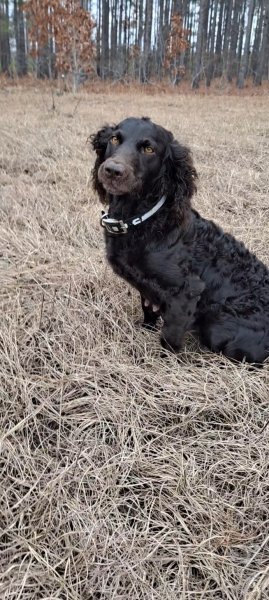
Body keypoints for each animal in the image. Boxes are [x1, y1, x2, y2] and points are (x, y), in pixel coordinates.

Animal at [90, 115, 268, 364]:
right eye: (115, 139)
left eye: (149, 149)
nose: (113, 170)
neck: (145, 219)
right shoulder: (148, 289)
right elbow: (148, 311)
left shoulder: (186, 292)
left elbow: (170, 336)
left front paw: (164, 362)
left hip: (216, 327)